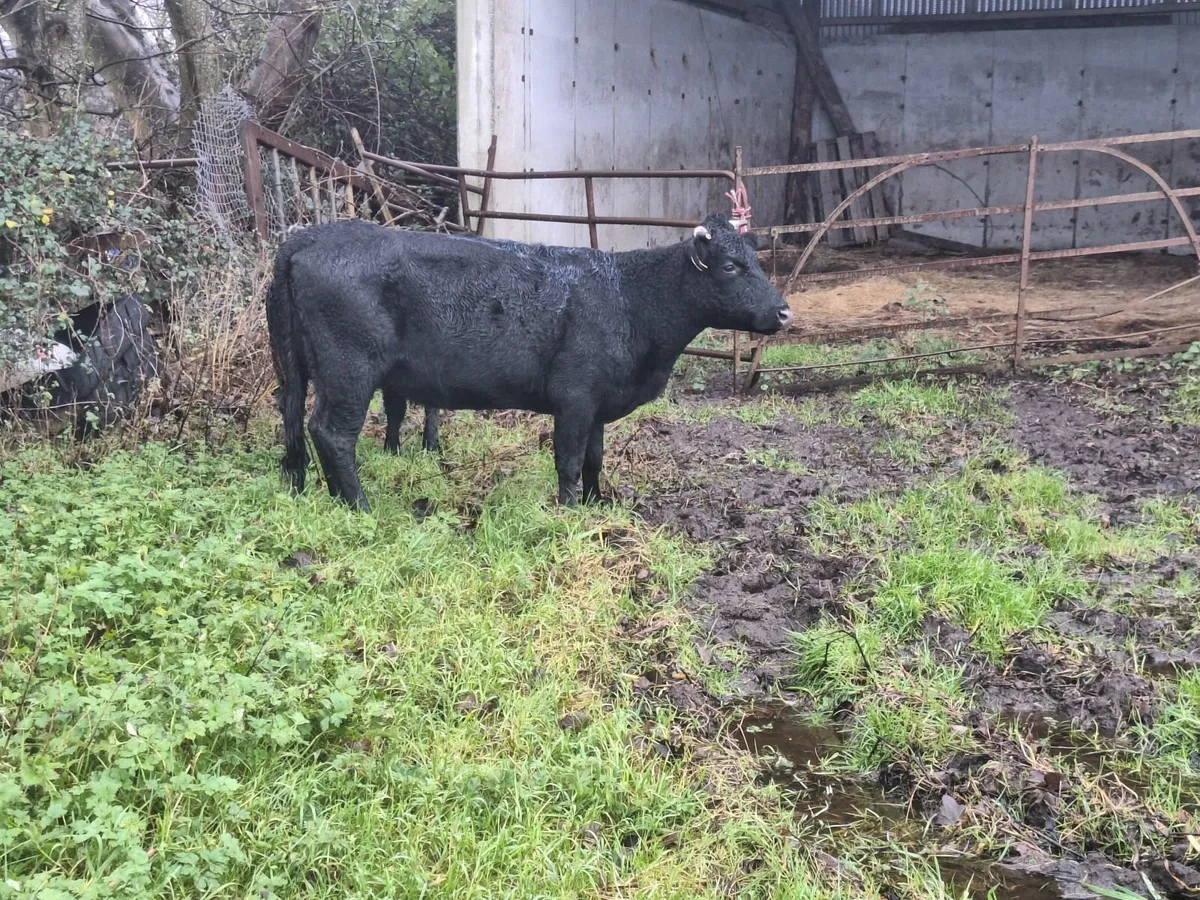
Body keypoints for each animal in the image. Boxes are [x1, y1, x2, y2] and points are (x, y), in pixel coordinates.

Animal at [265, 212, 793, 512]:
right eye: (731, 266)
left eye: (758, 261)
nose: (784, 311)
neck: (629, 297)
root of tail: (307, 238)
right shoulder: (575, 398)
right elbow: (568, 460)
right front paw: (568, 513)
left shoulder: (597, 403)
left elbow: (594, 460)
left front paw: (598, 508)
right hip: (349, 370)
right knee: (333, 433)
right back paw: (359, 506)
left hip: (296, 369)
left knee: (294, 424)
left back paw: (309, 490)